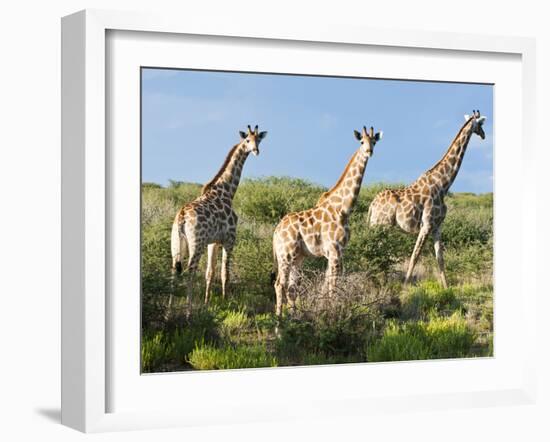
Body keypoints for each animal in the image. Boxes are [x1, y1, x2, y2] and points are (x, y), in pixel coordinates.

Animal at [171, 124, 268, 304]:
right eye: (247, 140)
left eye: (259, 139)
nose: (256, 150)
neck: (227, 192)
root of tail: (181, 216)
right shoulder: (229, 239)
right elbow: (225, 273)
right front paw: (225, 301)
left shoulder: (213, 241)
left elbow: (210, 272)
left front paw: (207, 302)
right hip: (197, 243)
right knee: (190, 270)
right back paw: (189, 308)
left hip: (177, 242)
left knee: (174, 270)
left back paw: (170, 308)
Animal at [272, 126, 384, 316]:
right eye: (362, 141)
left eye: (374, 141)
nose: (369, 151)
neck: (343, 209)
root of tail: (275, 233)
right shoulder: (334, 249)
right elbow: (333, 284)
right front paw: (332, 311)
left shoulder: (338, 251)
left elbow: (327, 282)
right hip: (285, 254)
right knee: (280, 284)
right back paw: (279, 320)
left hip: (298, 257)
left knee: (292, 287)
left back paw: (293, 317)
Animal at [368, 110, 490, 288]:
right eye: (481, 124)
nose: (484, 135)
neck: (443, 185)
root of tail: (372, 205)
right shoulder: (426, 225)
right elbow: (415, 256)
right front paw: (405, 286)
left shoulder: (437, 226)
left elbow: (440, 258)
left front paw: (446, 287)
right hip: (382, 225)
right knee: (377, 249)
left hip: (378, 226)